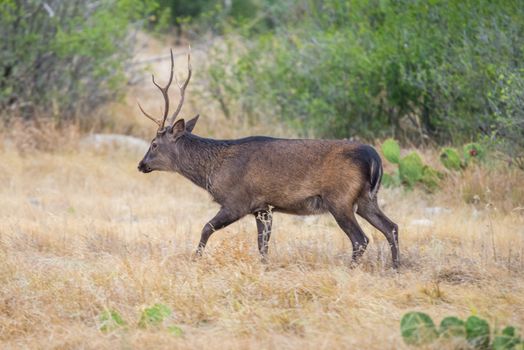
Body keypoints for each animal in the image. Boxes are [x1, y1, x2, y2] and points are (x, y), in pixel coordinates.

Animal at [137, 49, 400, 268]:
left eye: (154, 144)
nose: (141, 164)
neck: (213, 171)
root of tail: (374, 158)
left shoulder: (237, 200)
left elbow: (206, 228)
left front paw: (195, 259)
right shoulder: (263, 207)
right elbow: (263, 245)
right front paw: (264, 267)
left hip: (340, 198)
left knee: (361, 238)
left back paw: (351, 268)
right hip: (367, 198)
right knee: (392, 227)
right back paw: (396, 267)